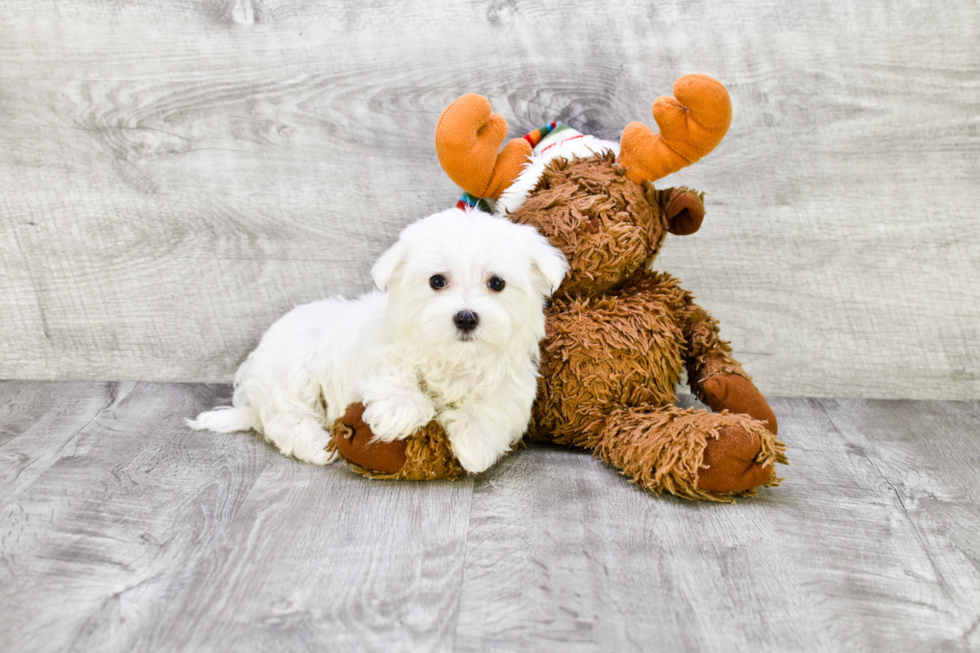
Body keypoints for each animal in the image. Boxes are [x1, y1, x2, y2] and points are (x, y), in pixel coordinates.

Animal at [188, 209, 568, 474]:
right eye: (437, 281)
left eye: (497, 283)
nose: (465, 317)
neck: (454, 357)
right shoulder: (374, 356)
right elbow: (391, 375)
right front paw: (401, 413)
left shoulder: (512, 383)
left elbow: (493, 408)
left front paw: (474, 442)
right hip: (291, 371)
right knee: (286, 417)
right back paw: (317, 445)